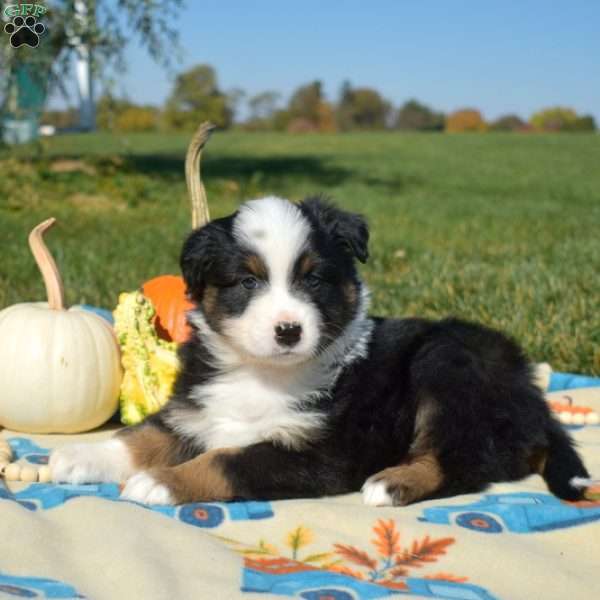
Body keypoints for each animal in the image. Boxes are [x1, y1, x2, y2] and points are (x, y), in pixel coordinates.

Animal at [49, 197, 588, 506]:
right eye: (248, 281)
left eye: (312, 278)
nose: (288, 330)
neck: (261, 373)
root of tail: (534, 398)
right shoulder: (194, 409)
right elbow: (141, 436)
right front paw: (80, 456)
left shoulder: (319, 453)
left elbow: (228, 459)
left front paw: (161, 482)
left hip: (446, 364)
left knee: (463, 461)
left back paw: (392, 483)